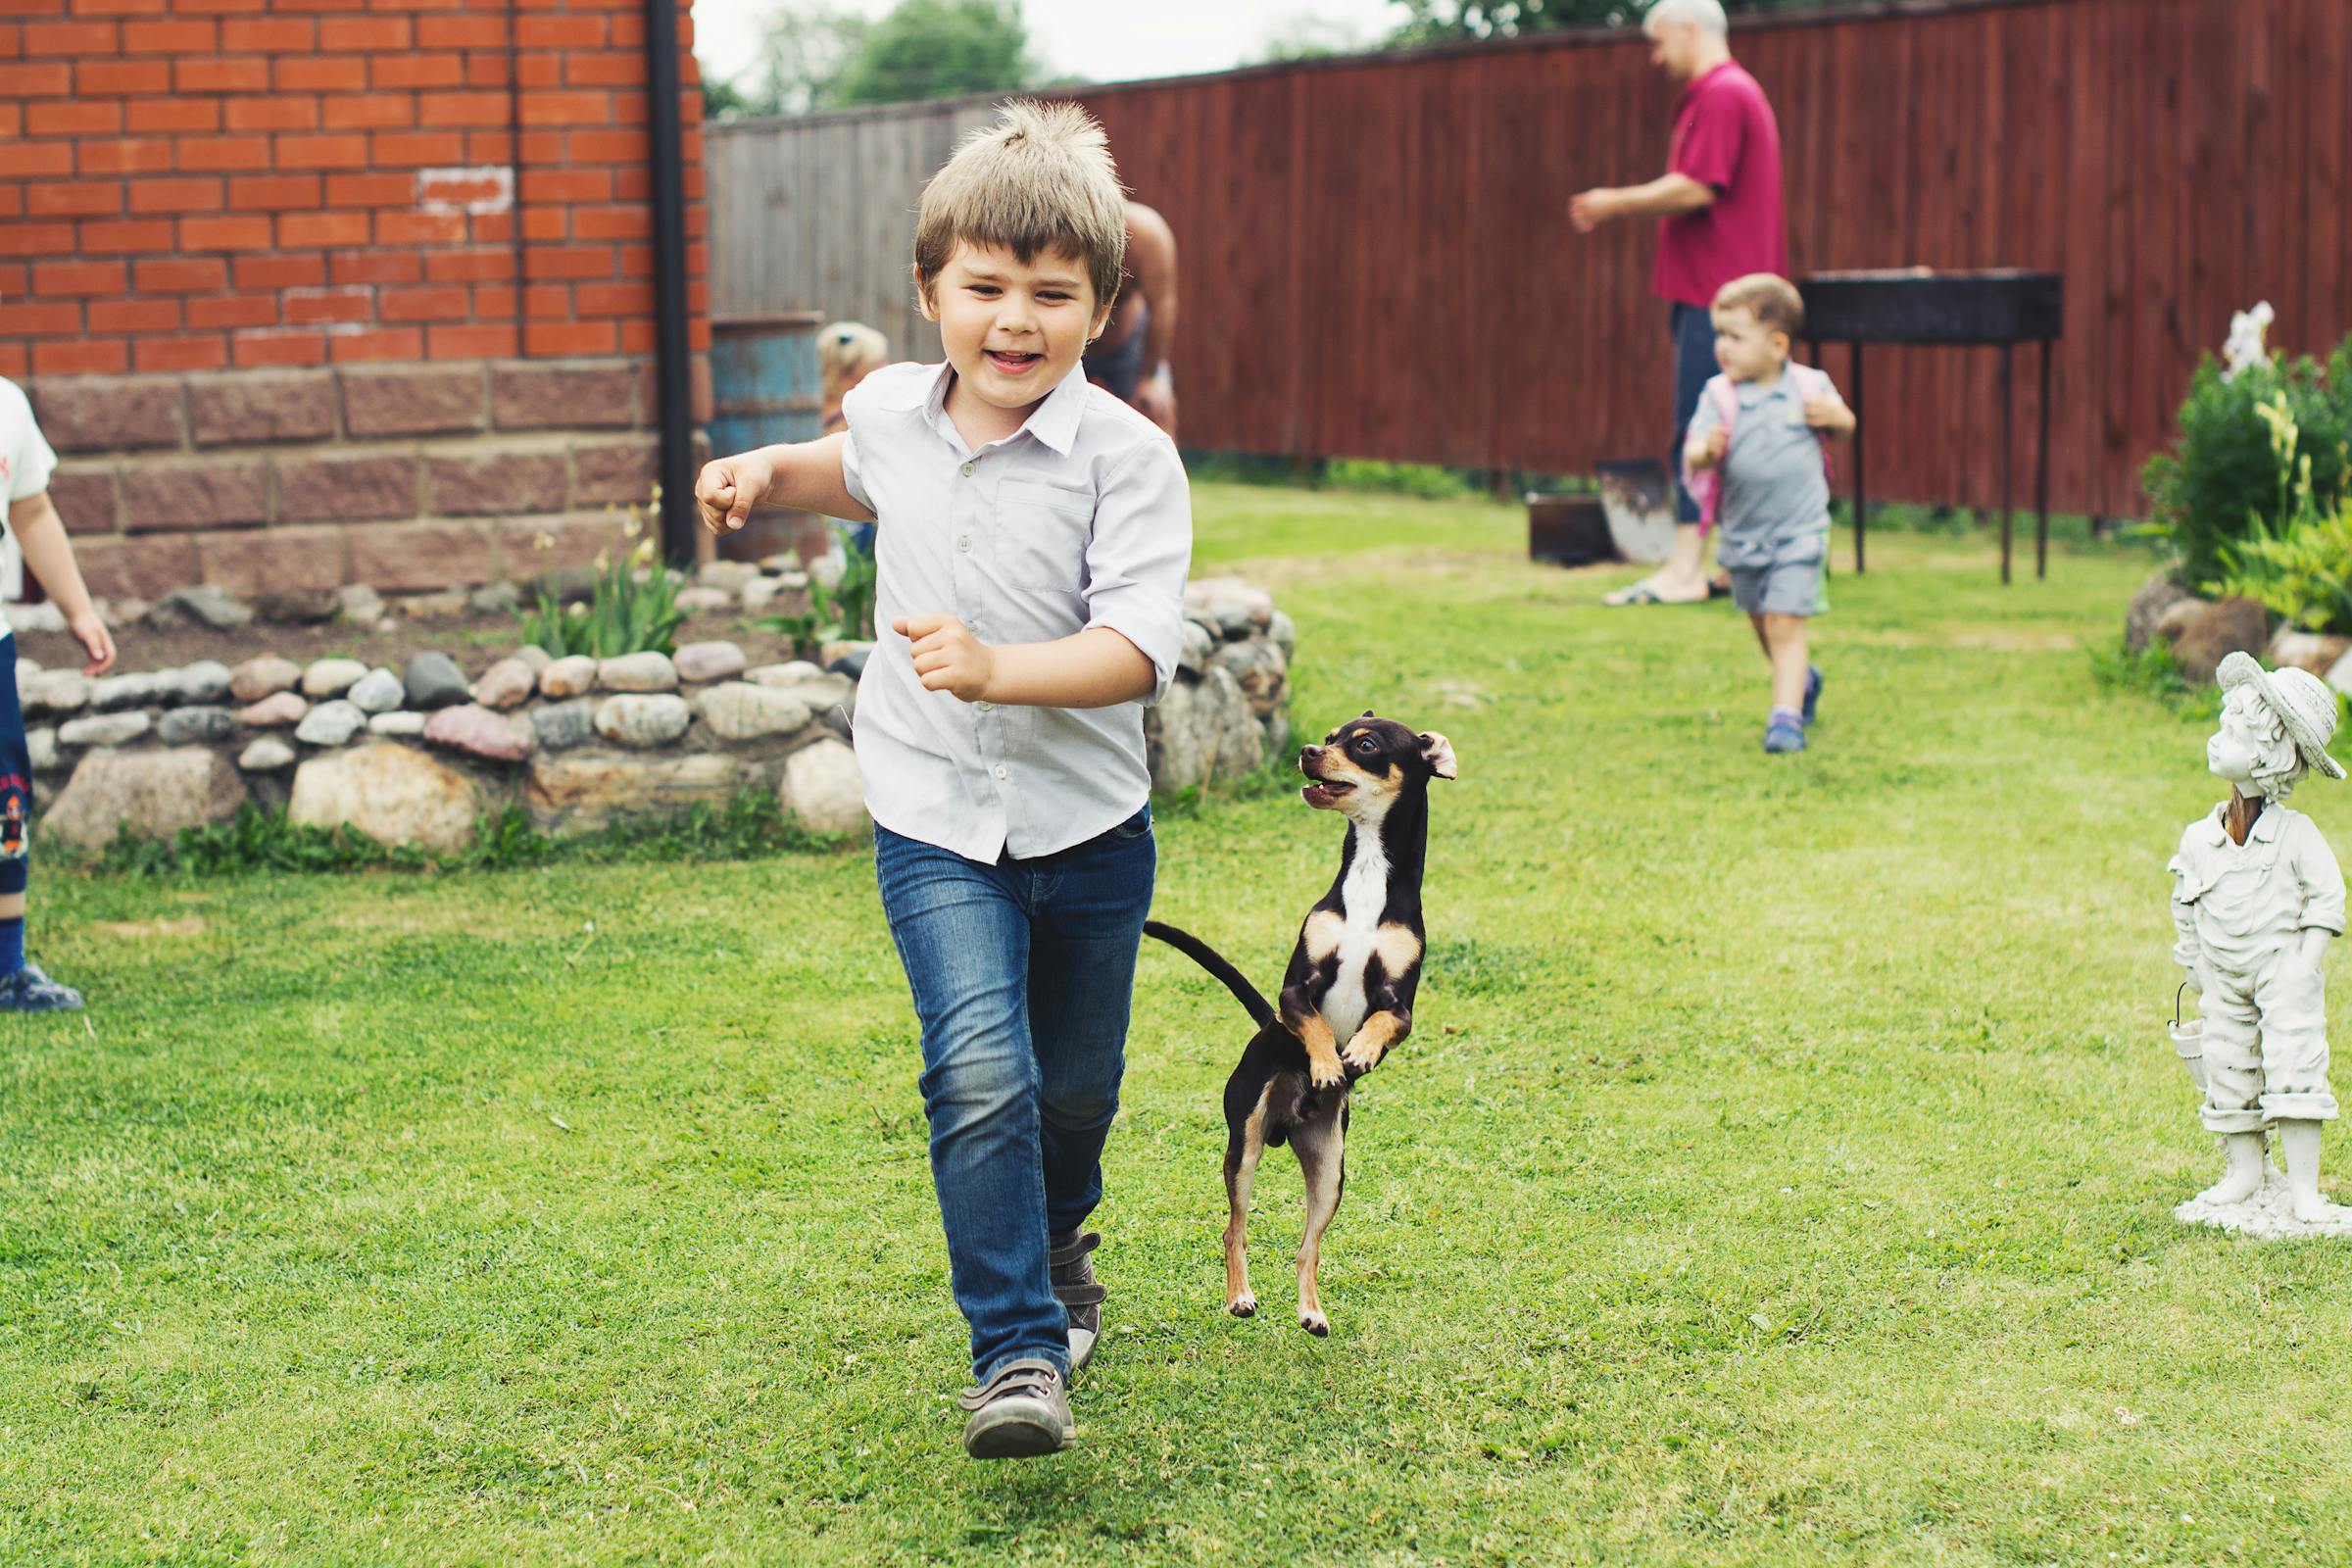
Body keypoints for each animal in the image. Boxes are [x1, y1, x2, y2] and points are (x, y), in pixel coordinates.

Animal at [1143, 710, 1448, 1335]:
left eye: (1364, 744)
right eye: (1330, 737)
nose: (1308, 751)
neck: (1367, 883)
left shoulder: (1401, 1006)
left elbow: (1381, 1025)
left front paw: (1358, 1054)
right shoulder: (1294, 992)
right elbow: (1313, 1026)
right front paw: (1329, 1060)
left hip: (1330, 1171)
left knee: (1308, 1248)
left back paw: (1311, 1310)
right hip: (1245, 1144)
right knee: (1234, 1228)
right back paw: (1240, 1295)